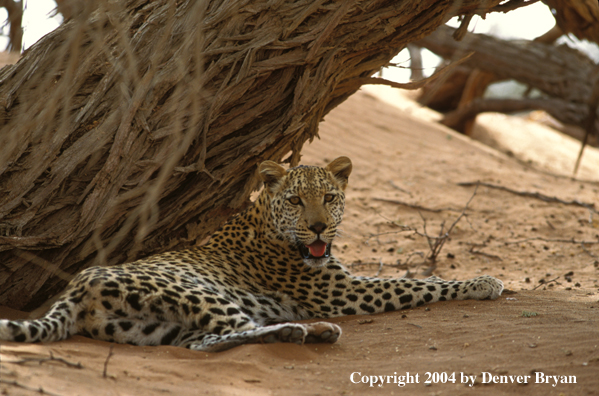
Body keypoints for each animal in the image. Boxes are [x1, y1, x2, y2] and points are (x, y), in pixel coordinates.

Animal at [1, 156, 506, 352]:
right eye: (296, 201)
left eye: (329, 197)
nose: (319, 226)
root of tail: (76, 288)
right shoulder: (343, 292)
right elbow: (413, 282)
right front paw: (483, 282)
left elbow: (412, 276)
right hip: (201, 295)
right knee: (236, 330)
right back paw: (311, 331)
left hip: (150, 327)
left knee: (207, 342)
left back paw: (302, 333)